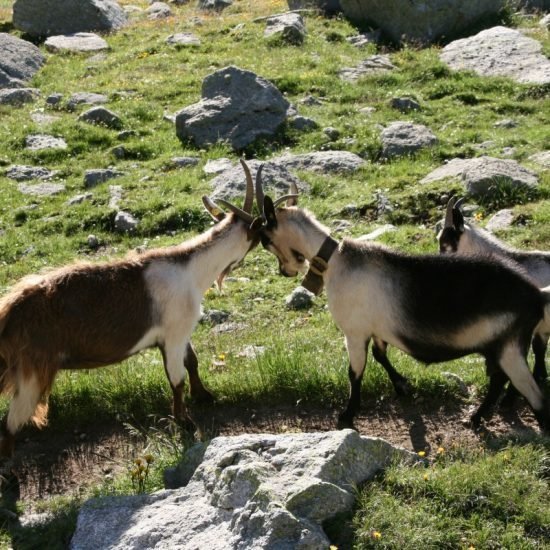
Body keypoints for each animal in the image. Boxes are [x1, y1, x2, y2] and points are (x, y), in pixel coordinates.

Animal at [0, 161, 262, 462]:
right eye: (261, 227)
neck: (190, 269)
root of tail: (9, 312)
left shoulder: (178, 336)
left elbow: (192, 362)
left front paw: (204, 395)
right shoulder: (174, 334)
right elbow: (177, 379)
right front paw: (185, 423)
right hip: (30, 374)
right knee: (9, 424)